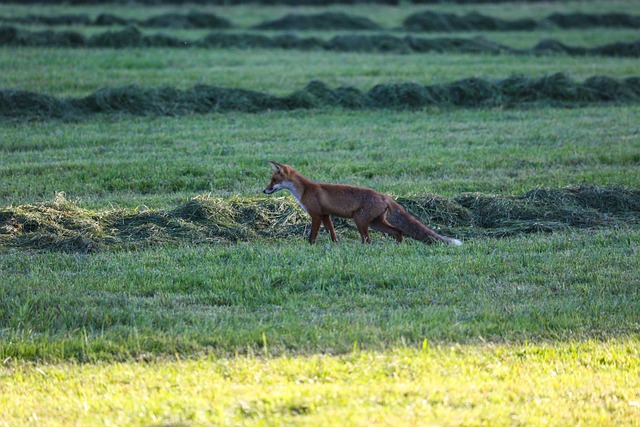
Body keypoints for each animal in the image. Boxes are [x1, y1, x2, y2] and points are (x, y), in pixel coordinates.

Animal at [262, 162, 462, 246]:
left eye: (273, 180)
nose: (264, 191)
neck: (304, 190)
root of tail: (383, 196)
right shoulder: (326, 215)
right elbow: (333, 234)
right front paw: (336, 246)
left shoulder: (316, 215)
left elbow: (312, 235)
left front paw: (310, 246)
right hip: (375, 223)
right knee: (398, 231)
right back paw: (398, 246)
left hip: (360, 221)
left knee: (368, 240)